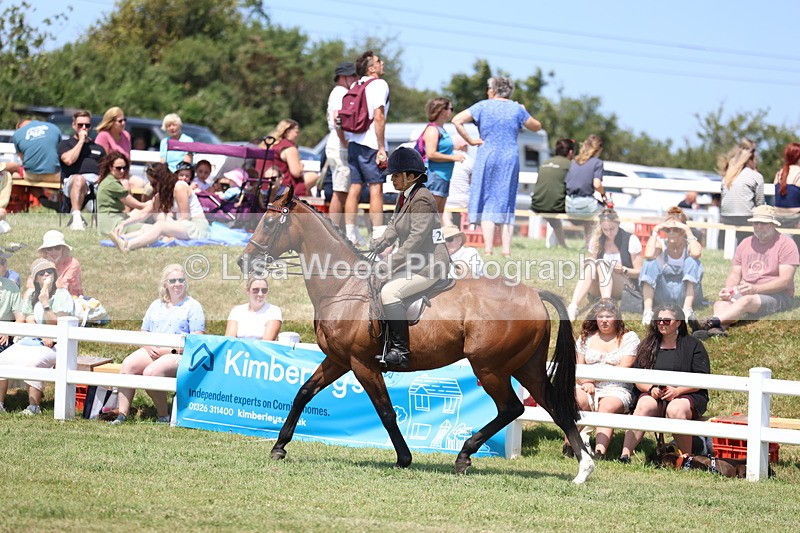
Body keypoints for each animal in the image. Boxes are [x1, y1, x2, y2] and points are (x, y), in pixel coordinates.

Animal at [238, 187, 594, 483]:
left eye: (270, 223)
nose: (244, 261)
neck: (343, 287)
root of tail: (533, 294)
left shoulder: (362, 363)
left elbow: (385, 410)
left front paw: (404, 458)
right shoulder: (338, 359)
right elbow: (303, 393)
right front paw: (279, 446)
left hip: (489, 367)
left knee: (511, 408)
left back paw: (464, 456)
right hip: (526, 366)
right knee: (553, 406)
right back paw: (584, 469)